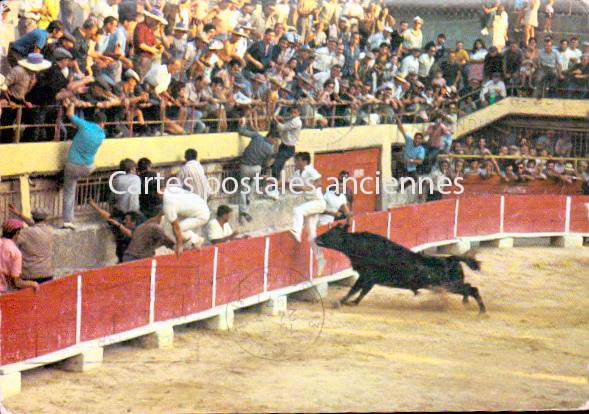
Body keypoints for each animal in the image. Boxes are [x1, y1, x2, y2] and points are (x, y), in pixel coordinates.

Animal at [314, 225, 484, 312]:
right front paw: (353, 303)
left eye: (331, 233)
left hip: (449, 286)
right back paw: (466, 303)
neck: (361, 246)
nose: (316, 238)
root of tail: (450, 259)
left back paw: (482, 310)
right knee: (469, 288)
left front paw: (339, 302)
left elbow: (354, 290)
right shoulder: (370, 279)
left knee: (472, 289)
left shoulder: (366, 276)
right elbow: (362, 292)